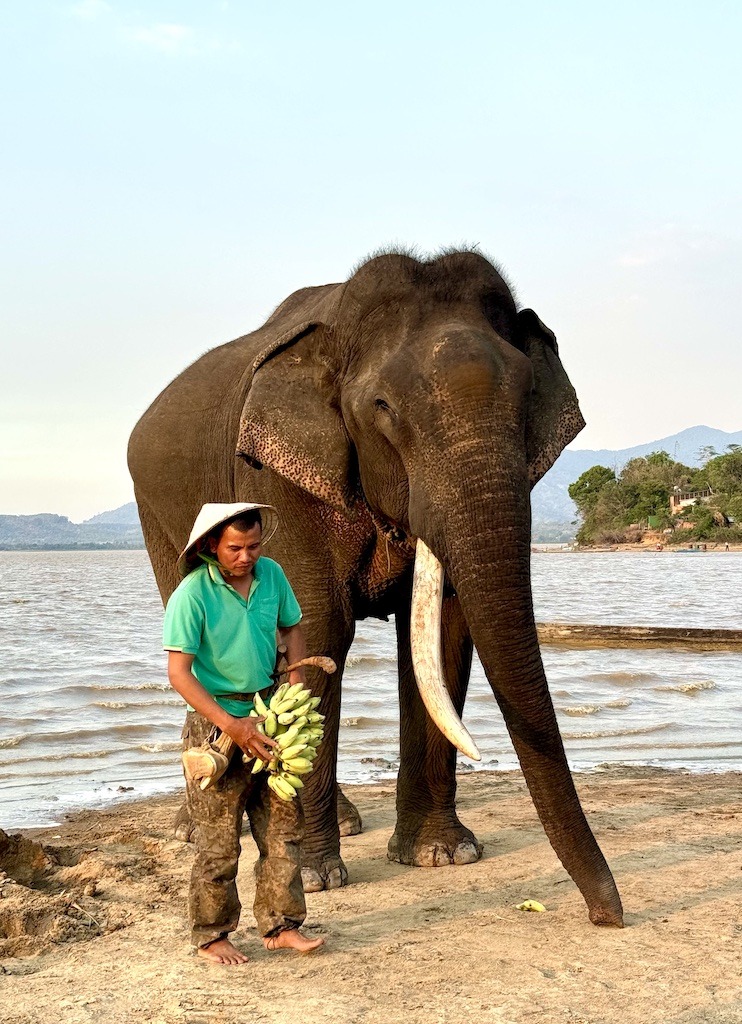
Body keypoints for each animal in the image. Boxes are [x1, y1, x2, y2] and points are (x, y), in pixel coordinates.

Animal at [128, 247, 626, 929]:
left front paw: (442, 856)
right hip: (158, 514)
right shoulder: (276, 477)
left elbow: (443, 635)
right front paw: (317, 875)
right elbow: (315, 628)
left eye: (527, 399)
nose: (609, 915)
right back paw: (195, 823)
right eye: (384, 408)